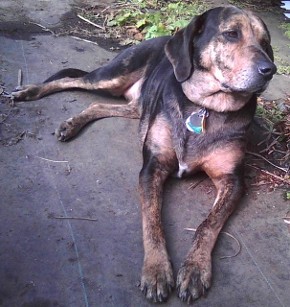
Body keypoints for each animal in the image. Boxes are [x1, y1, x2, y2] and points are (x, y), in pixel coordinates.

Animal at [13, 6, 276, 304]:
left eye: (266, 42)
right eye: (231, 34)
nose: (270, 70)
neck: (205, 106)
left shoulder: (232, 180)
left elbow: (208, 224)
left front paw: (195, 268)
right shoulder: (153, 166)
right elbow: (152, 221)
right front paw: (157, 269)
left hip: (138, 106)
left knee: (97, 105)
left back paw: (72, 123)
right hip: (111, 76)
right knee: (71, 79)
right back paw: (31, 91)